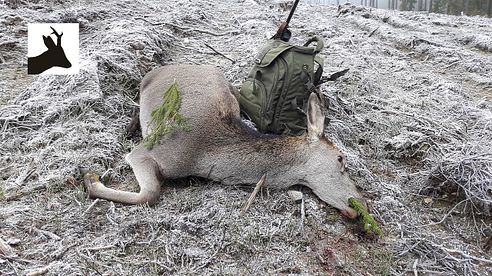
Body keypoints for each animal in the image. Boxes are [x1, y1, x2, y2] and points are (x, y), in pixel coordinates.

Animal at [83, 64, 362, 218]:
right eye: (341, 159)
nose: (361, 204)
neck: (203, 156)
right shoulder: (146, 152)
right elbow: (150, 193)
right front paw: (91, 179)